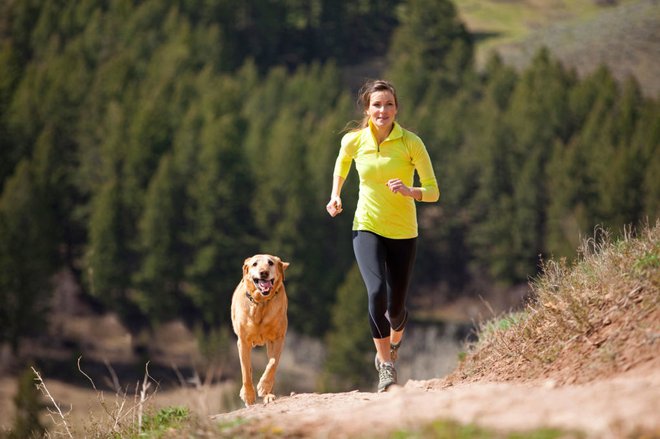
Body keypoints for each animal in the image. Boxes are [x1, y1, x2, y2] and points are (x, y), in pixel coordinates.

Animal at [231, 256, 288, 408]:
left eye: (271, 263)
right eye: (255, 264)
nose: (264, 273)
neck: (261, 303)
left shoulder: (278, 338)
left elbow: (272, 364)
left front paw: (263, 386)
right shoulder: (243, 342)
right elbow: (246, 371)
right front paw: (248, 395)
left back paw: (268, 394)